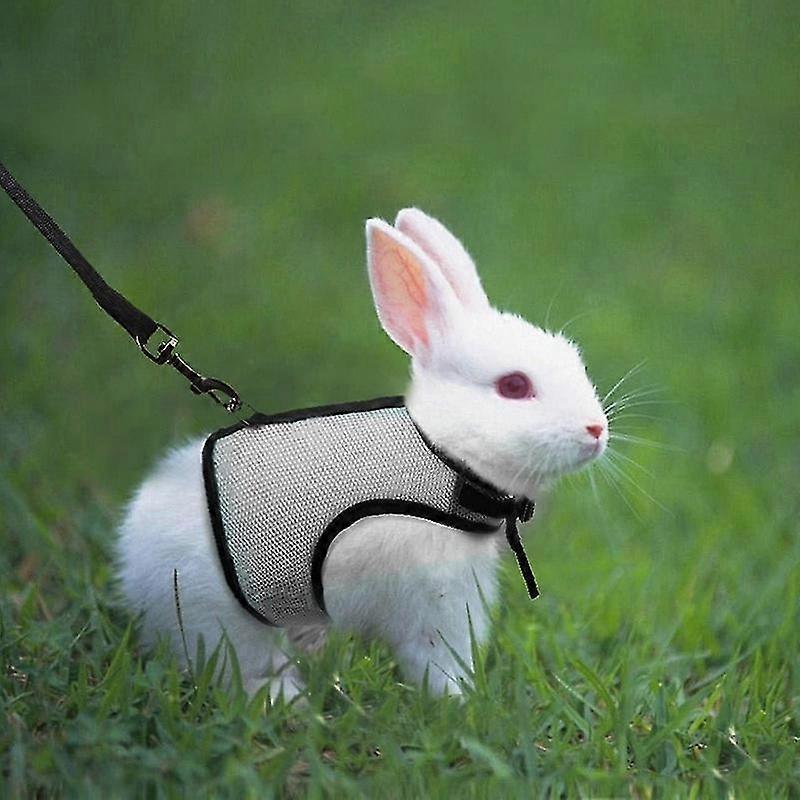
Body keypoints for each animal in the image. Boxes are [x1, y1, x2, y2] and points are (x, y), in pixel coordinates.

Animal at [116, 208, 608, 701]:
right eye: (514, 386)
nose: (597, 430)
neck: (443, 457)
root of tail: (132, 550)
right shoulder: (434, 600)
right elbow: (435, 659)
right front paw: (457, 701)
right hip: (222, 619)